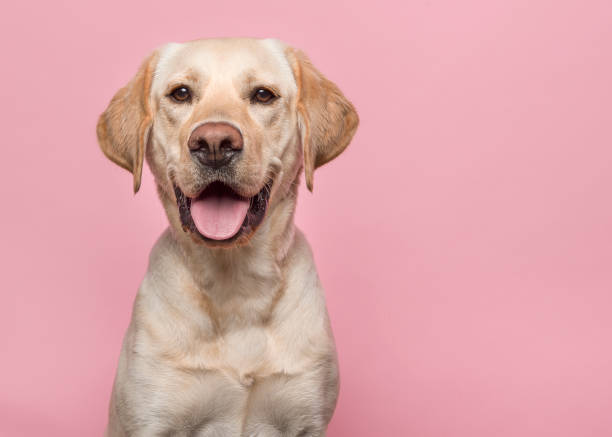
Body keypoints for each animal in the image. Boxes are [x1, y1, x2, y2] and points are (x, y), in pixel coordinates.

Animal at [97, 38, 358, 436]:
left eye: (263, 95)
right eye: (181, 93)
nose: (215, 143)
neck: (236, 286)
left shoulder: (305, 419)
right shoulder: (153, 419)